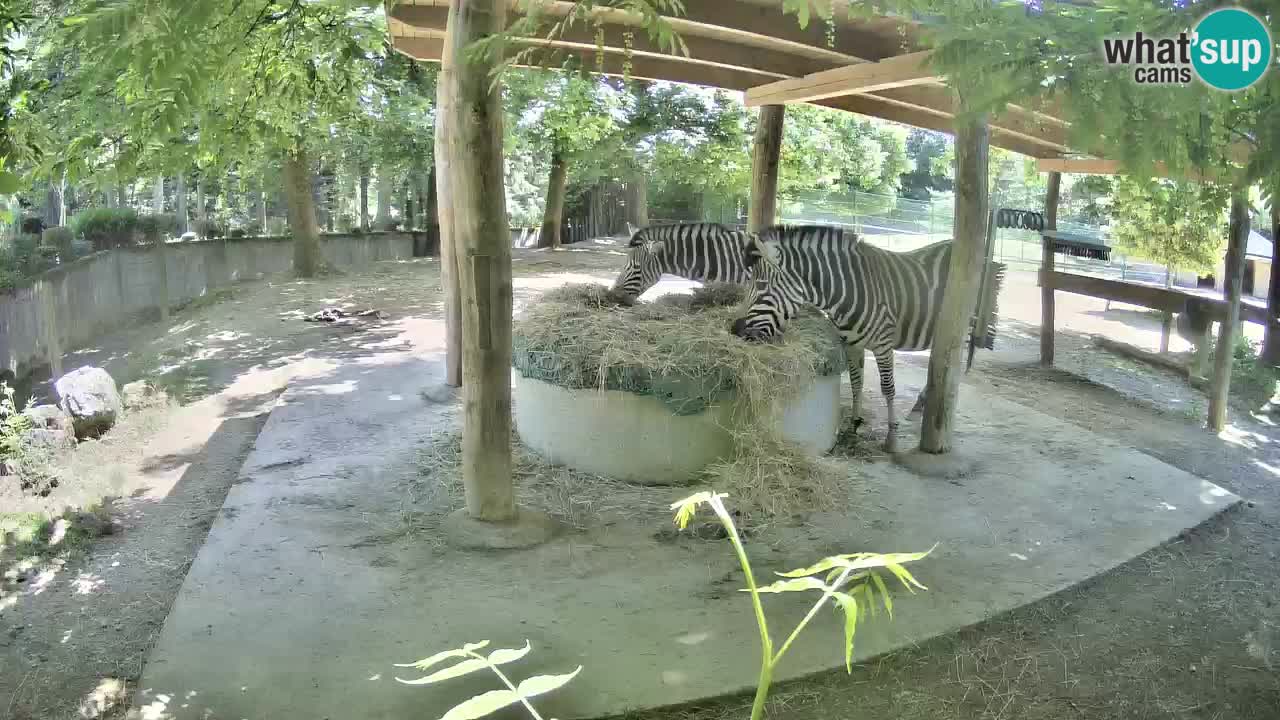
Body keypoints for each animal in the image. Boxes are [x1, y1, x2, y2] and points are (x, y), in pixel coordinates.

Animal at [730, 224, 1005, 453]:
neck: (845, 292)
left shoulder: (883, 345)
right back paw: (920, 405)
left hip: (965, 324)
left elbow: (888, 388)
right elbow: (856, 382)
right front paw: (854, 424)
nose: (735, 330)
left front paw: (891, 439)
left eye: (761, 285)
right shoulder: (851, 343)